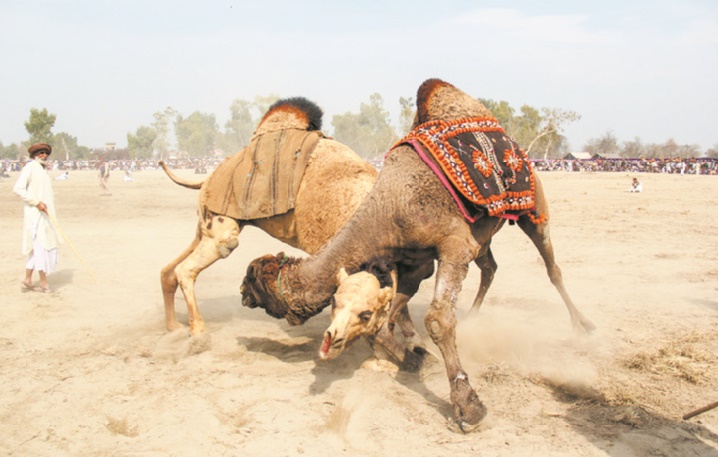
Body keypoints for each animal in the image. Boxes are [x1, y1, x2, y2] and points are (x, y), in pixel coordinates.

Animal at [160, 98, 380, 334]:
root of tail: (209, 176)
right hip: (219, 221)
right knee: (199, 260)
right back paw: (198, 331)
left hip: (204, 222)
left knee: (170, 270)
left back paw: (173, 326)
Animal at [242, 78, 596, 432]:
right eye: (335, 303)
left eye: (258, 283)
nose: (244, 293)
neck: (392, 207)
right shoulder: (415, 261)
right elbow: (393, 313)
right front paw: (413, 356)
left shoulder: (454, 246)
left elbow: (437, 320)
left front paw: (468, 406)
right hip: (483, 237)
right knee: (491, 267)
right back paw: (474, 316)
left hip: (533, 210)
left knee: (552, 267)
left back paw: (583, 325)